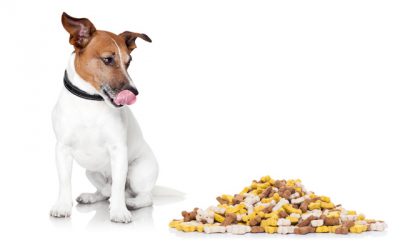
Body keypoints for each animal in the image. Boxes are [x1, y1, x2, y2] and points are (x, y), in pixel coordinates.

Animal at [50, 12, 158, 223]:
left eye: (129, 62)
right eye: (108, 59)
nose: (134, 92)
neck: (90, 102)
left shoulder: (118, 150)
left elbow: (118, 184)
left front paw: (118, 211)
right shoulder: (62, 149)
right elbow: (65, 181)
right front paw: (62, 206)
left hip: (139, 171)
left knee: (143, 196)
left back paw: (131, 203)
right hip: (91, 172)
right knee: (104, 191)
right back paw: (91, 197)